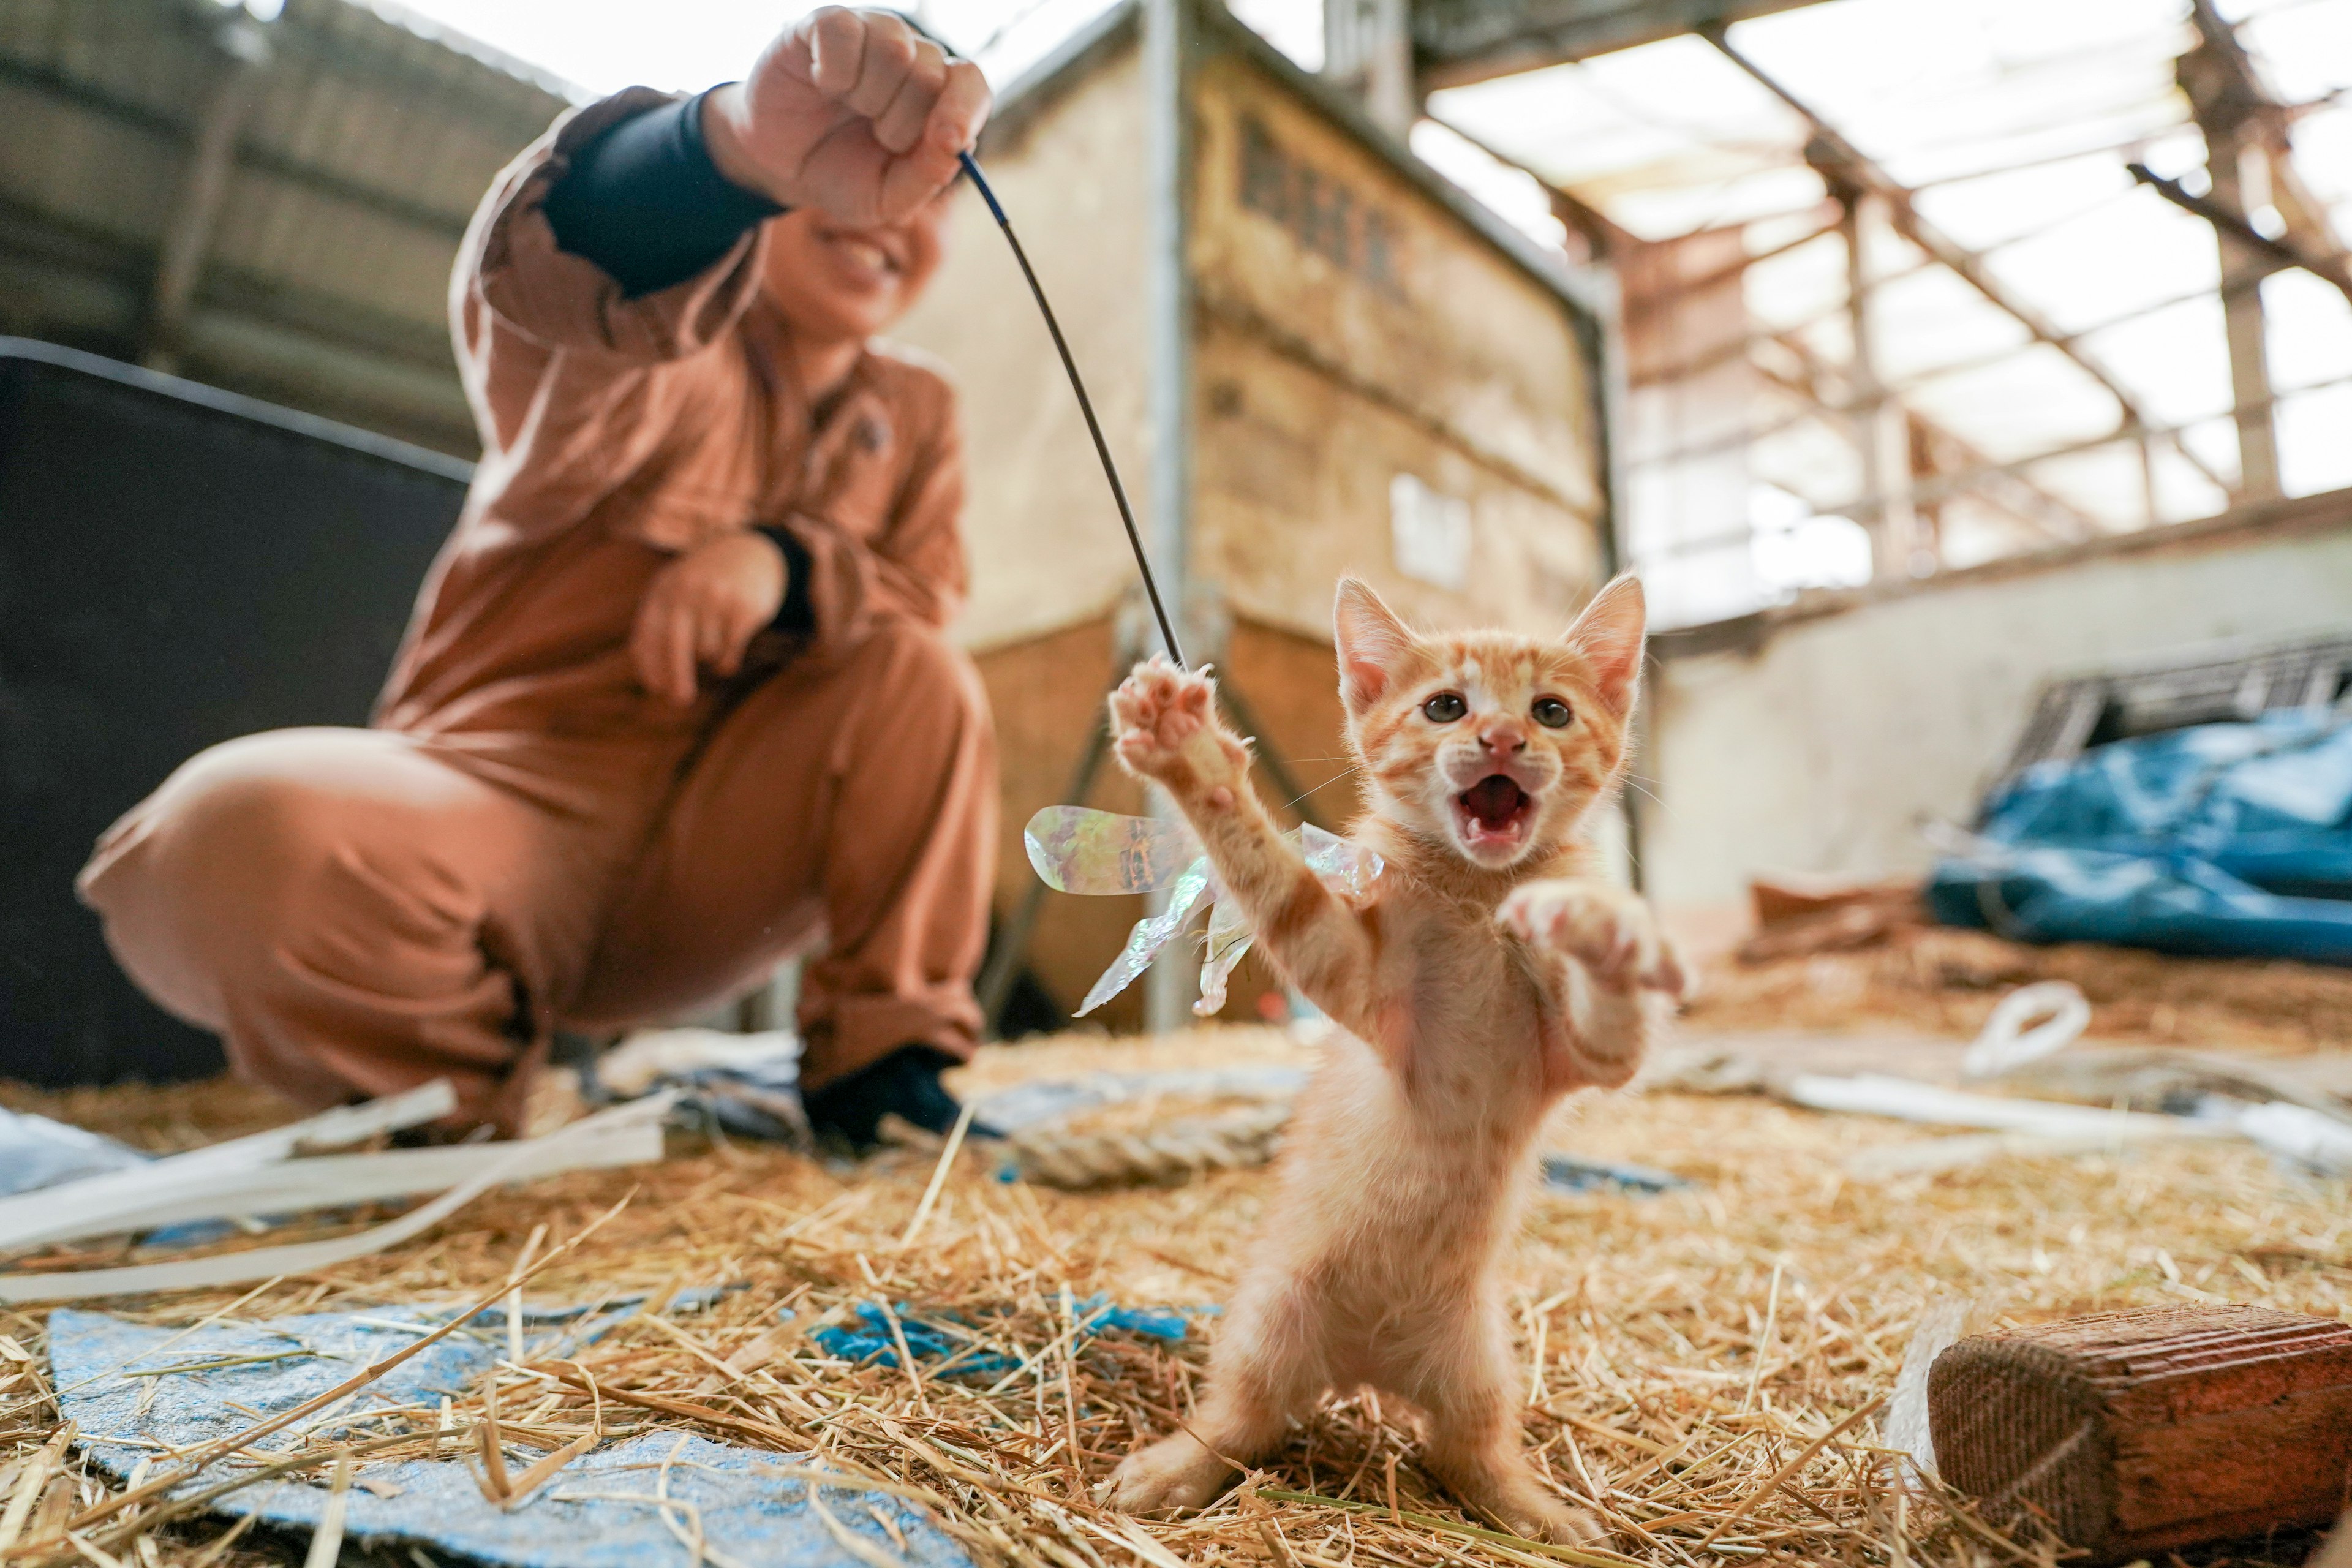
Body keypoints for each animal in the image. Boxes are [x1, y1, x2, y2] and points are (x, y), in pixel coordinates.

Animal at [1091, 573, 1684, 1542]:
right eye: (1446, 706)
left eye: (1551, 711)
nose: (1503, 739)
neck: (1478, 895)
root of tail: (1367, 1367)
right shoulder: (1352, 974)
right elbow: (1275, 882)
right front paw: (1195, 759)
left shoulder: (1583, 1056)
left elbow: (1613, 1027)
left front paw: (1600, 930)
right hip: (1267, 1317)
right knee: (1238, 1420)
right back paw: (1173, 1471)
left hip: (1482, 1361)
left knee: (1469, 1451)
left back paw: (1539, 1512)